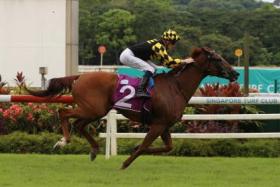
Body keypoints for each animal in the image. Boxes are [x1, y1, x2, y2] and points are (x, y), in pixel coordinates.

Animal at [25, 47, 238, 169]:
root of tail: (80, 76)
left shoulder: (164, 125)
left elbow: (168, 147)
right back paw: (63, 141)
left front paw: (132, 149)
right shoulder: (158, 125)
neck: (176, 87)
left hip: (95, 110)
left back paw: (93, 150)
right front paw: (125, 163)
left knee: (78, 124)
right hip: (93, 109)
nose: (235, 73)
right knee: (64, 113)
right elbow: (144, 146)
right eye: (217, 59)